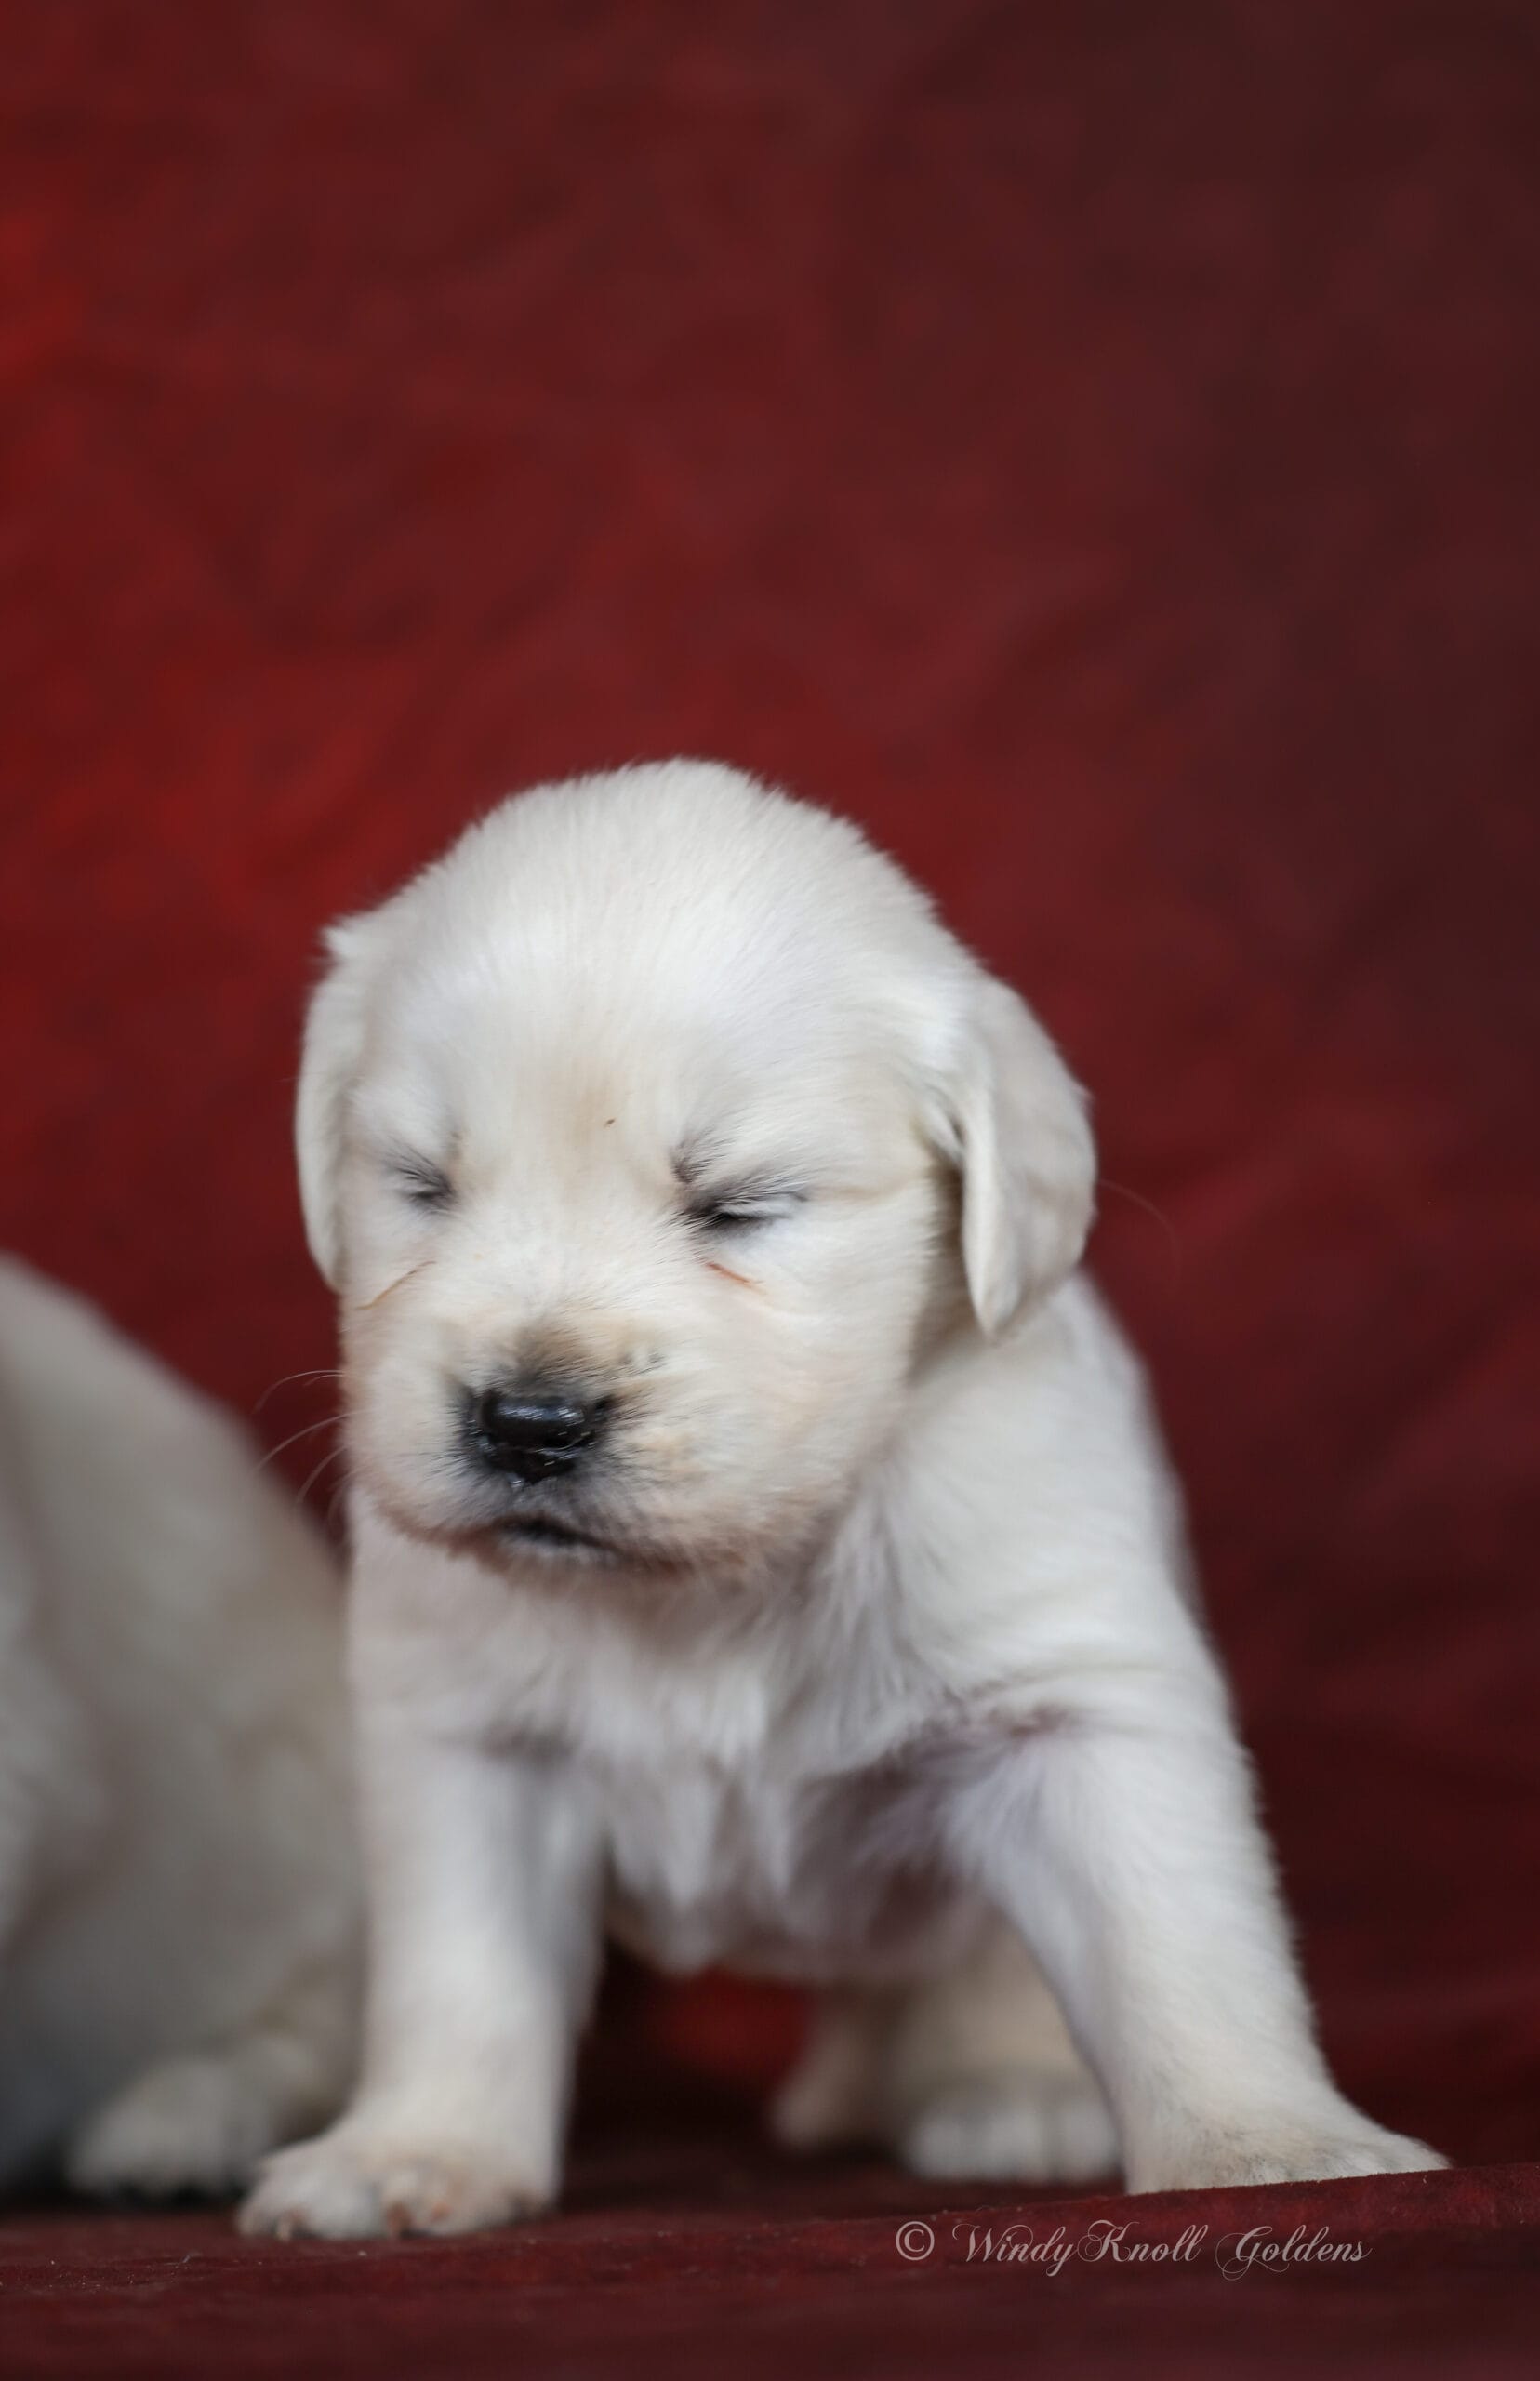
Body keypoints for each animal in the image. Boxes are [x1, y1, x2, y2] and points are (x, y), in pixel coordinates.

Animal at [240, 759, 1441, 2238]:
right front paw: (412, 2152)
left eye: (742, 1206)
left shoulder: (1076, 1703)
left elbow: (1178, 1947)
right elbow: (460, 1974)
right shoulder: (466, 1743)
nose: (528, 1421)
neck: (721, 1574)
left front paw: (1267, 2145)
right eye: (422, 1183)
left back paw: (1010, 2091)